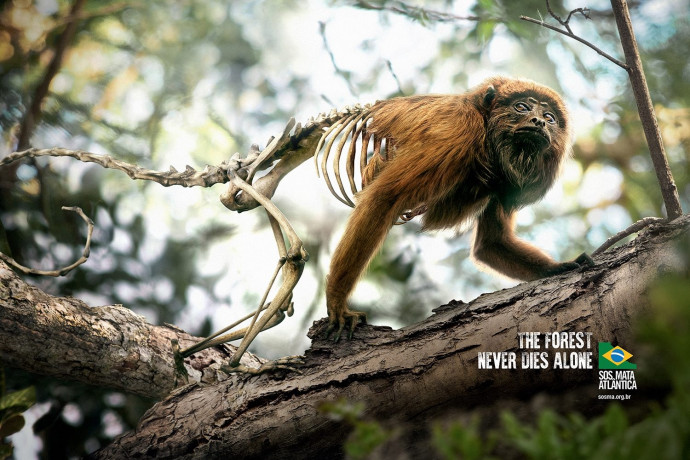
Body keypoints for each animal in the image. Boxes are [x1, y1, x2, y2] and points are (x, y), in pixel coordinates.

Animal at [324, 76, 592, 340]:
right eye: (522, 107)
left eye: (550, 117)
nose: (539, 122)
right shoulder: (459, 129)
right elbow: (384, 197)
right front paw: (337, 301)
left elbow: (491, 243)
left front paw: (556, 268)